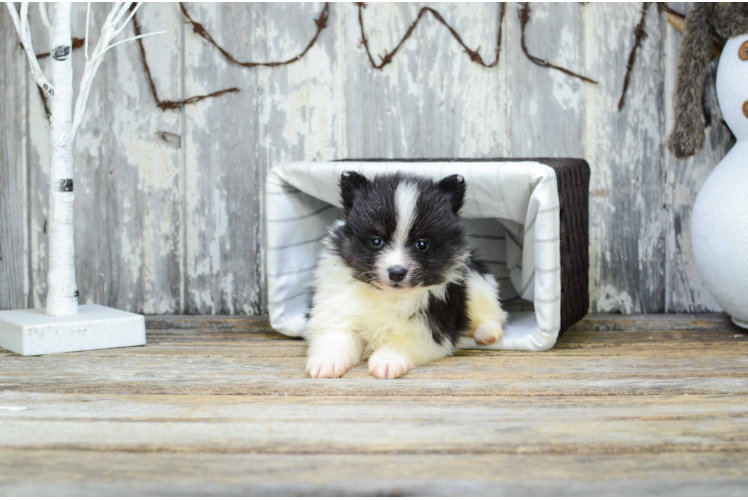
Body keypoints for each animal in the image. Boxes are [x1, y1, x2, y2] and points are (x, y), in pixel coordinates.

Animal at [304, 172, 508, 378]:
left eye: (422, 244)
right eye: (376, 241)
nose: (396, 273)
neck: (388, 296)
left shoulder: (430, 329)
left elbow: (402, 342)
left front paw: (386, 361)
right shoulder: (337, 311)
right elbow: (335, 336)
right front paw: (326, 362)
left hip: (476, 284)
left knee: (492, 312)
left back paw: (487, 332)